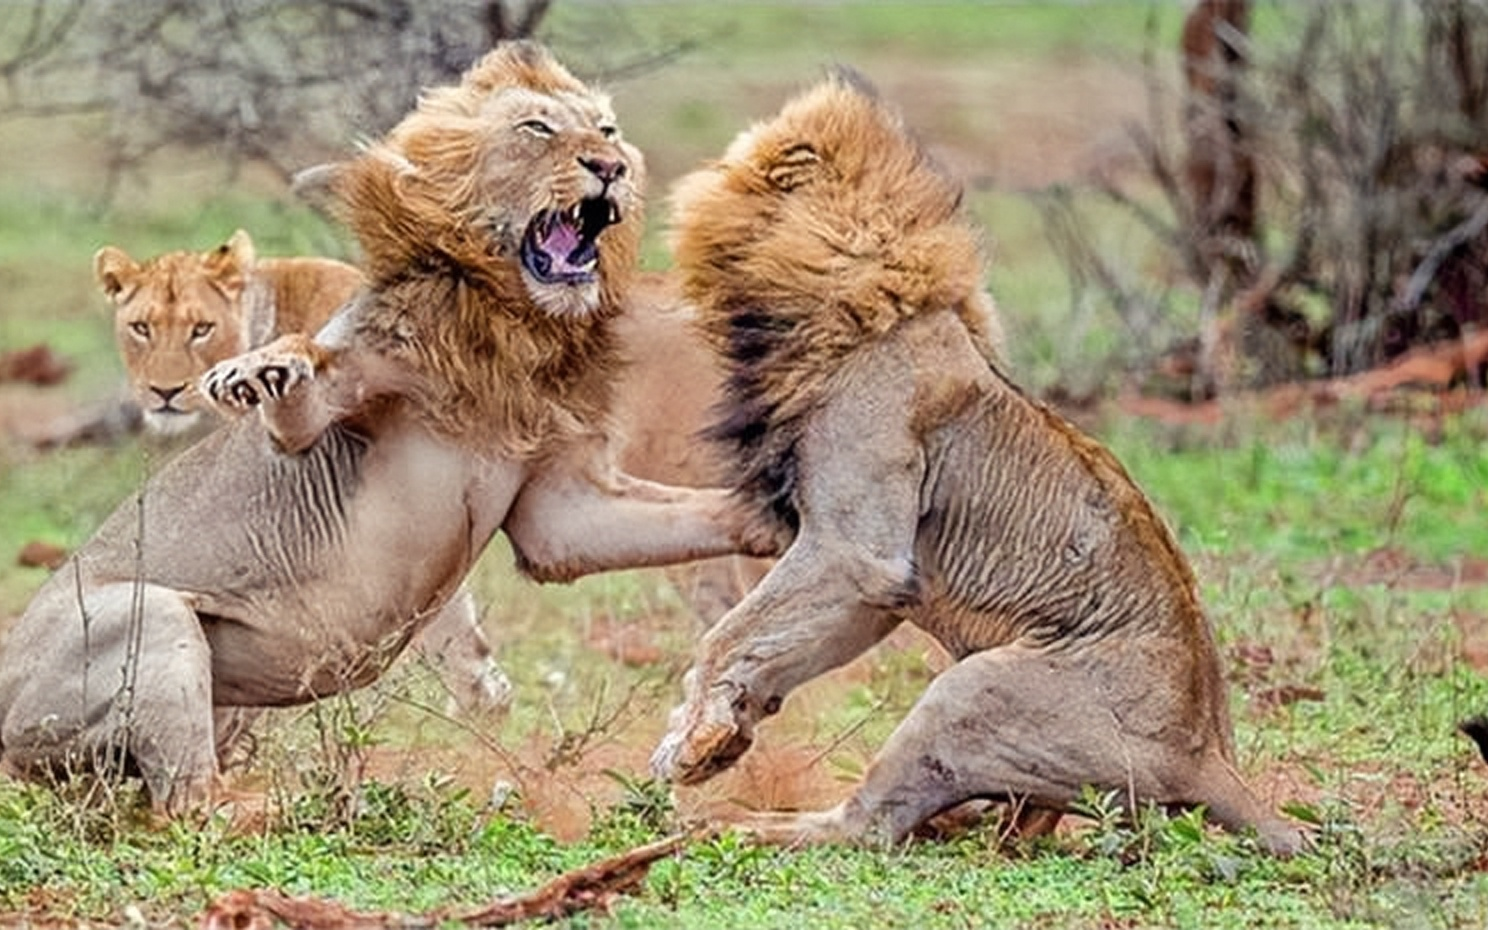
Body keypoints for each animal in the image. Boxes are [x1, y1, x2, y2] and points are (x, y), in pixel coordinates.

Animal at [2, 43, 779, 809]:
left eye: (607, 130)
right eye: (538, 129)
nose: (610, 167)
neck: (509, 324)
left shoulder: (559, 508)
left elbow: (682, 515)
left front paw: (775, 521)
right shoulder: (330, 409)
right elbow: (297, 389)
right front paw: (257, 372)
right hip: (151, 617)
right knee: (185, 803)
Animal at [651, 72, 1303, 857]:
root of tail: (1209, 757)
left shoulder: (856, 551)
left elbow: (726, 634)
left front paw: (688, 746)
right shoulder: (876, 590)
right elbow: (770, 640)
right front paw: (724, 733)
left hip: (969, 690)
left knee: (870, 826)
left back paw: (733, 826)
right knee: (1015, 820)